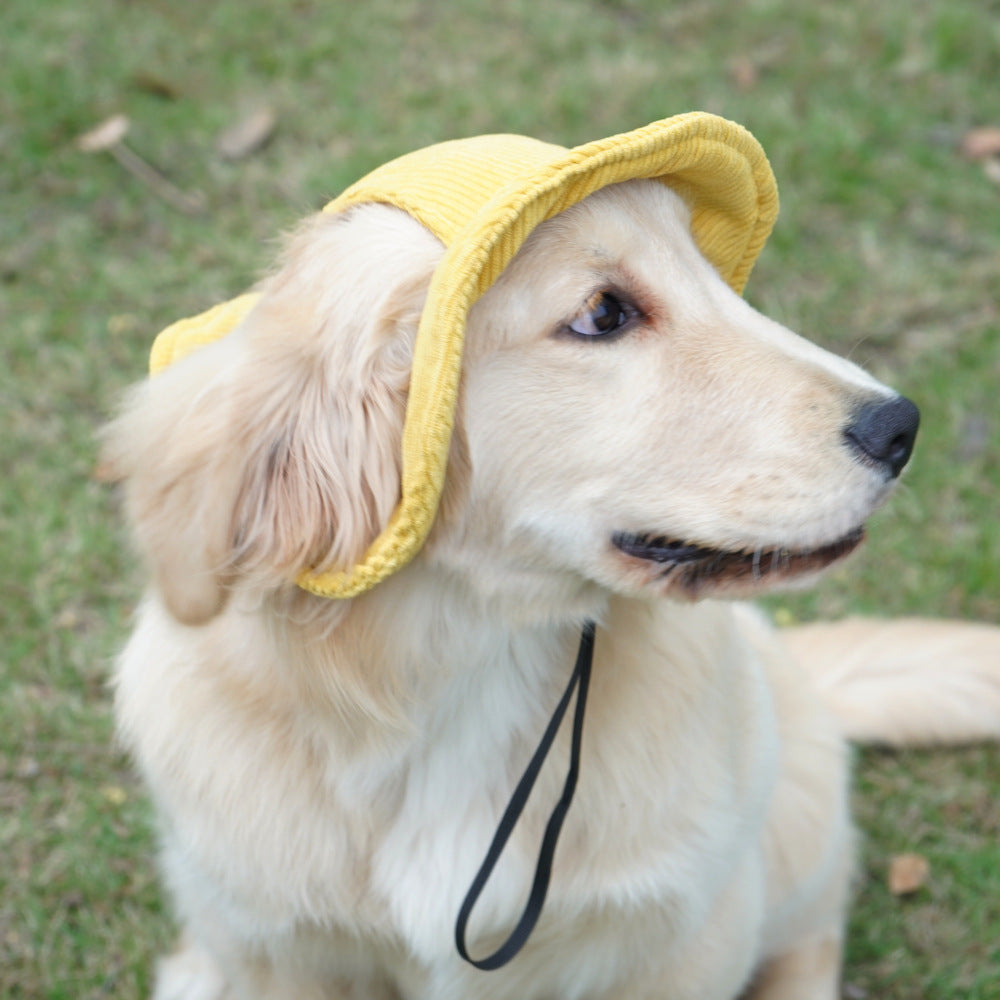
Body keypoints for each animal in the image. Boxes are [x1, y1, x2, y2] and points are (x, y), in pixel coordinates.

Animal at [103, 176, 1000, 996]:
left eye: (705, 270)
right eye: (603, 313)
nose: (902, 426)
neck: (467, 662)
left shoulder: (683, 935)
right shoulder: (269, 950)